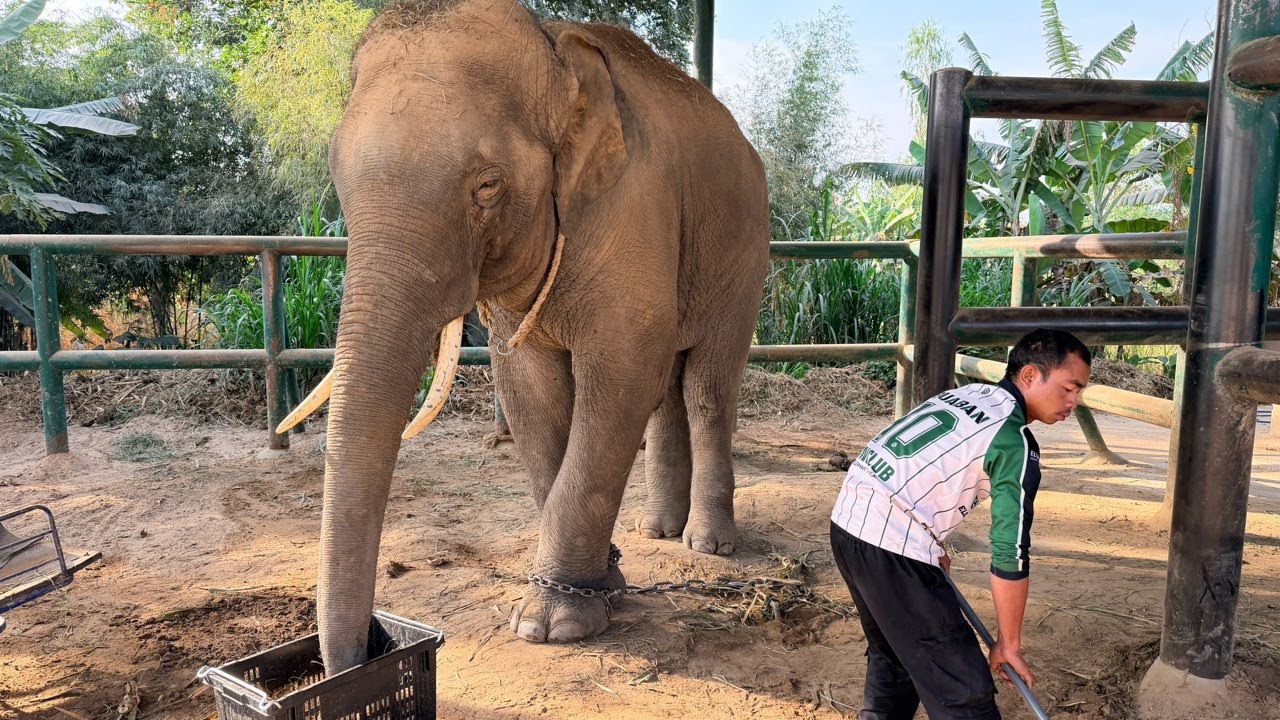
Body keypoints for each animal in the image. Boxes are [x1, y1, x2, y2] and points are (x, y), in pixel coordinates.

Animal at [291, 0, 771, 674]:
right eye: (338, 181)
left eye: (488, 186)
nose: (355, 664)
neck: (558, 52)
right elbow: (530, 392)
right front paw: (607, 586)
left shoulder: (633, 205)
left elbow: (620, 377)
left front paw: (552, 626)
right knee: (669, 387)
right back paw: (657, 533)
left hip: (746, 255)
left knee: (704, 384)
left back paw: (708, 544)